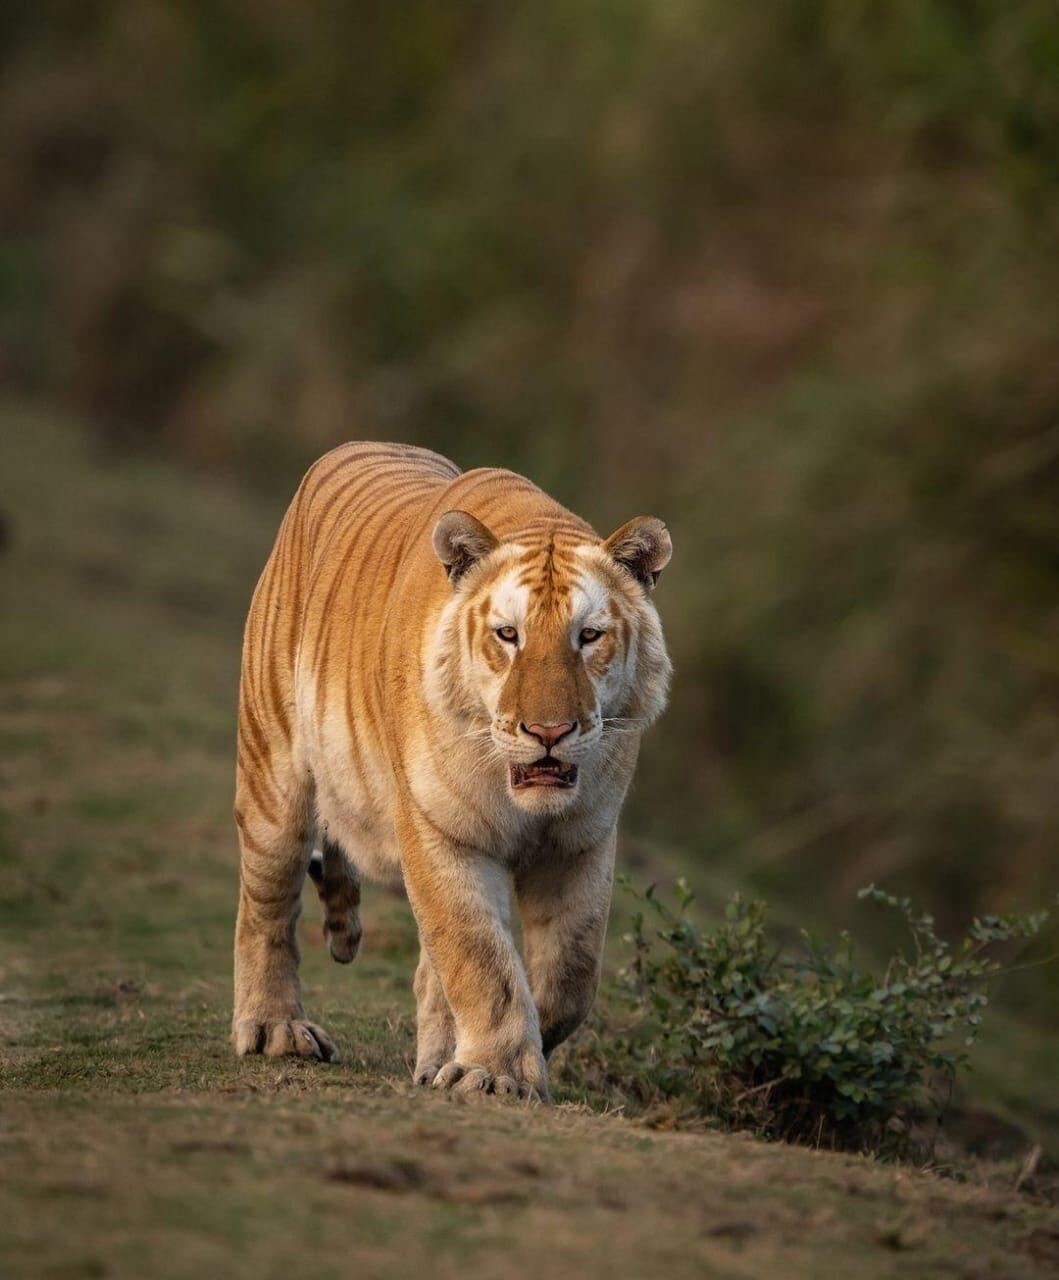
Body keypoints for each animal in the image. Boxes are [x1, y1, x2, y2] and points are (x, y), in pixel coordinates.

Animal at [235, 442, 676, 1100]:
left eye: (589, 636)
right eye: (509, 635)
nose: (548, 732)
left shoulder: (583, 842)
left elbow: (569, 975)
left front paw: (481, 1061)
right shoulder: (441, 830)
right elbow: (481, 961)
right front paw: (495, 1074)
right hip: (274, 777)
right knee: (266, 906)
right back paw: (275, 1030)